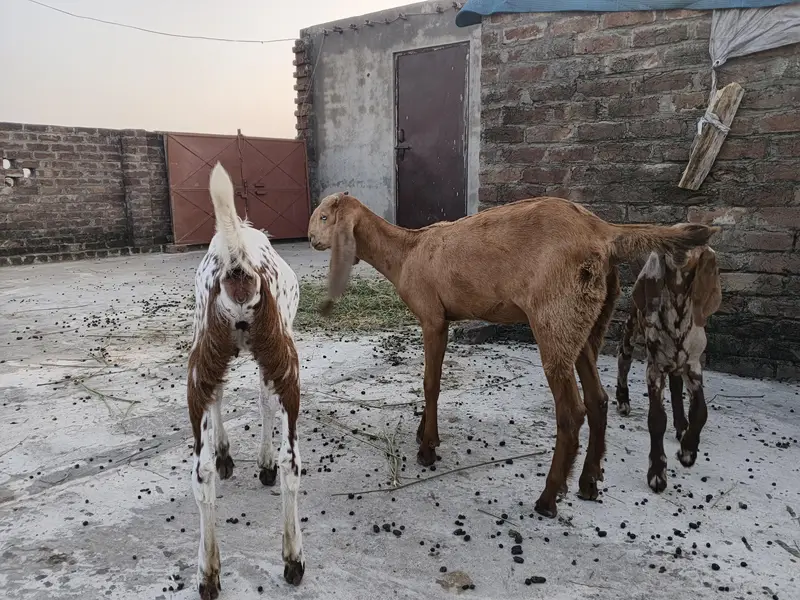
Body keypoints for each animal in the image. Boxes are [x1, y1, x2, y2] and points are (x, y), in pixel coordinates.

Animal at [186, 163, 304, 599]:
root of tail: (237, 261)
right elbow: (262, 401)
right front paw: (258, 461)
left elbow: (227, 396)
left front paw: (228, 453)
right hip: (283, 355)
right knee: (291, 461)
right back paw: (292, 558)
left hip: (206, 353)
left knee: (201, 469)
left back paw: (209, 572)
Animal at [615, 245, 721, 493]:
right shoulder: (654, 368)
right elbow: (657, 419)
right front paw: (657, 472)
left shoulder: (694, 366)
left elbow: (701, 411)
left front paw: (688, 451)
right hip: (632, 328)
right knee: (623, 360)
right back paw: (623, 399)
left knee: (675, 385)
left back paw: (682, 425)